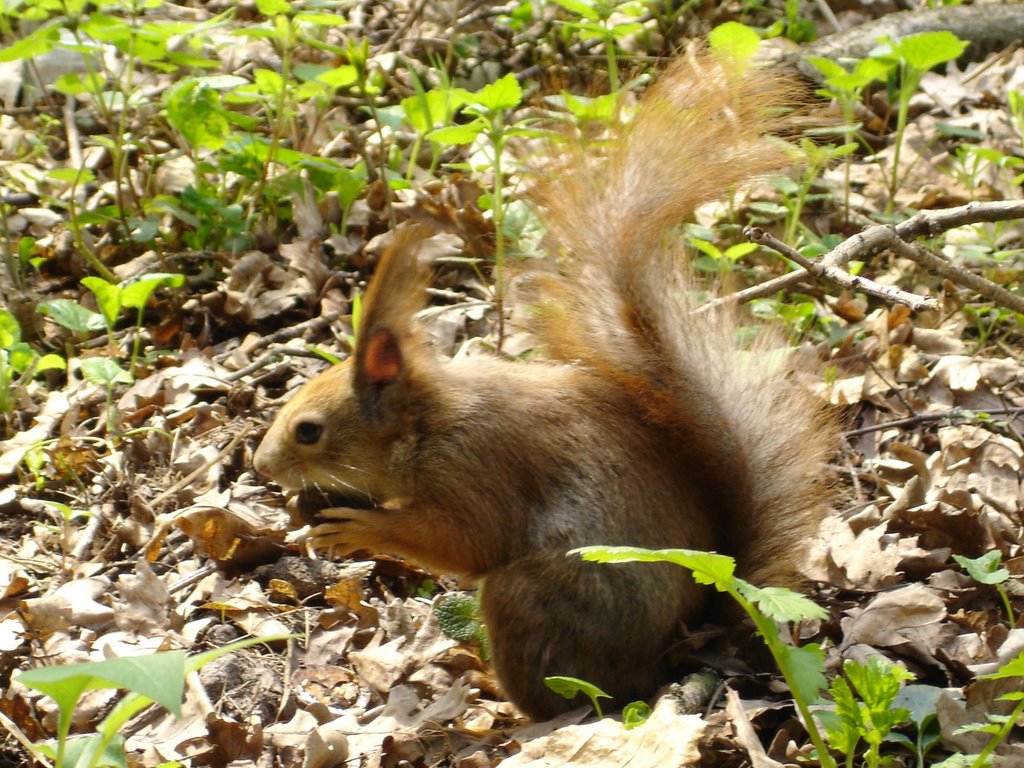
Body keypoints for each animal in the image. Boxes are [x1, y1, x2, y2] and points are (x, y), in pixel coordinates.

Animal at [251, 46, 835, 720]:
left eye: (309, 431)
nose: (261, 467)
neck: (427, 424)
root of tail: (678, 647)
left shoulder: (476, 468)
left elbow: (464, 541)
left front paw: (361, 529)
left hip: (534, 600)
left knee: (561, 692)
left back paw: (497, 695)